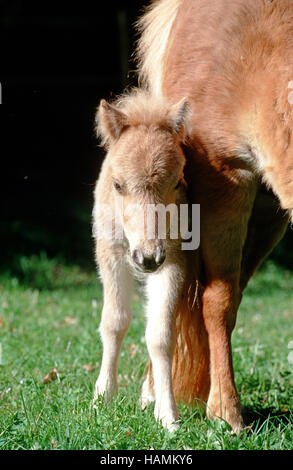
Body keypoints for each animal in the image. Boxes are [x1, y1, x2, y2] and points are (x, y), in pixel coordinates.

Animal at [93, 0, 290, 434]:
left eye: (177, 179)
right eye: (117, 184)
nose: (148, 257)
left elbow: (171, 324)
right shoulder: (225, 179)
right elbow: (209, 302)